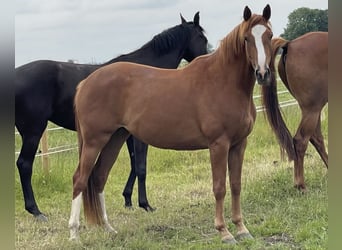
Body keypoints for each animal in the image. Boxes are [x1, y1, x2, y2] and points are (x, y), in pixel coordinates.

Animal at [15, 12, 208, 221]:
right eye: (202, 38)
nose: (205, 61)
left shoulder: (128, 133)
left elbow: (134, 164)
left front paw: (128, 199)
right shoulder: (139, 135)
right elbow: (141, 166)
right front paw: (145, 204)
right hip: (33, 131)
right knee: (24, 165)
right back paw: (36, 210)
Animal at [69, 5, 276, 244]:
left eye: (269, 35)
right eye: (246, 38)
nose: (262, 73)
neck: (224, 82)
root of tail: (85, 83)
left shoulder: (239, 144)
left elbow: (235, 185)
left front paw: (242, 229)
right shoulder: (219, 144)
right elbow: (219, 187)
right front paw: (224, 232)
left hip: (115, 138)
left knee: (99, 178)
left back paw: (108, 229)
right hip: (94, 141)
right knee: (80, 180)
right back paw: (74, 234)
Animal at [262, 32, 328, 190]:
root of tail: (290, 44)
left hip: (313, 109)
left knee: (316, 138)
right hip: (312, 109)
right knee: (301, 140)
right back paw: (300, 185)